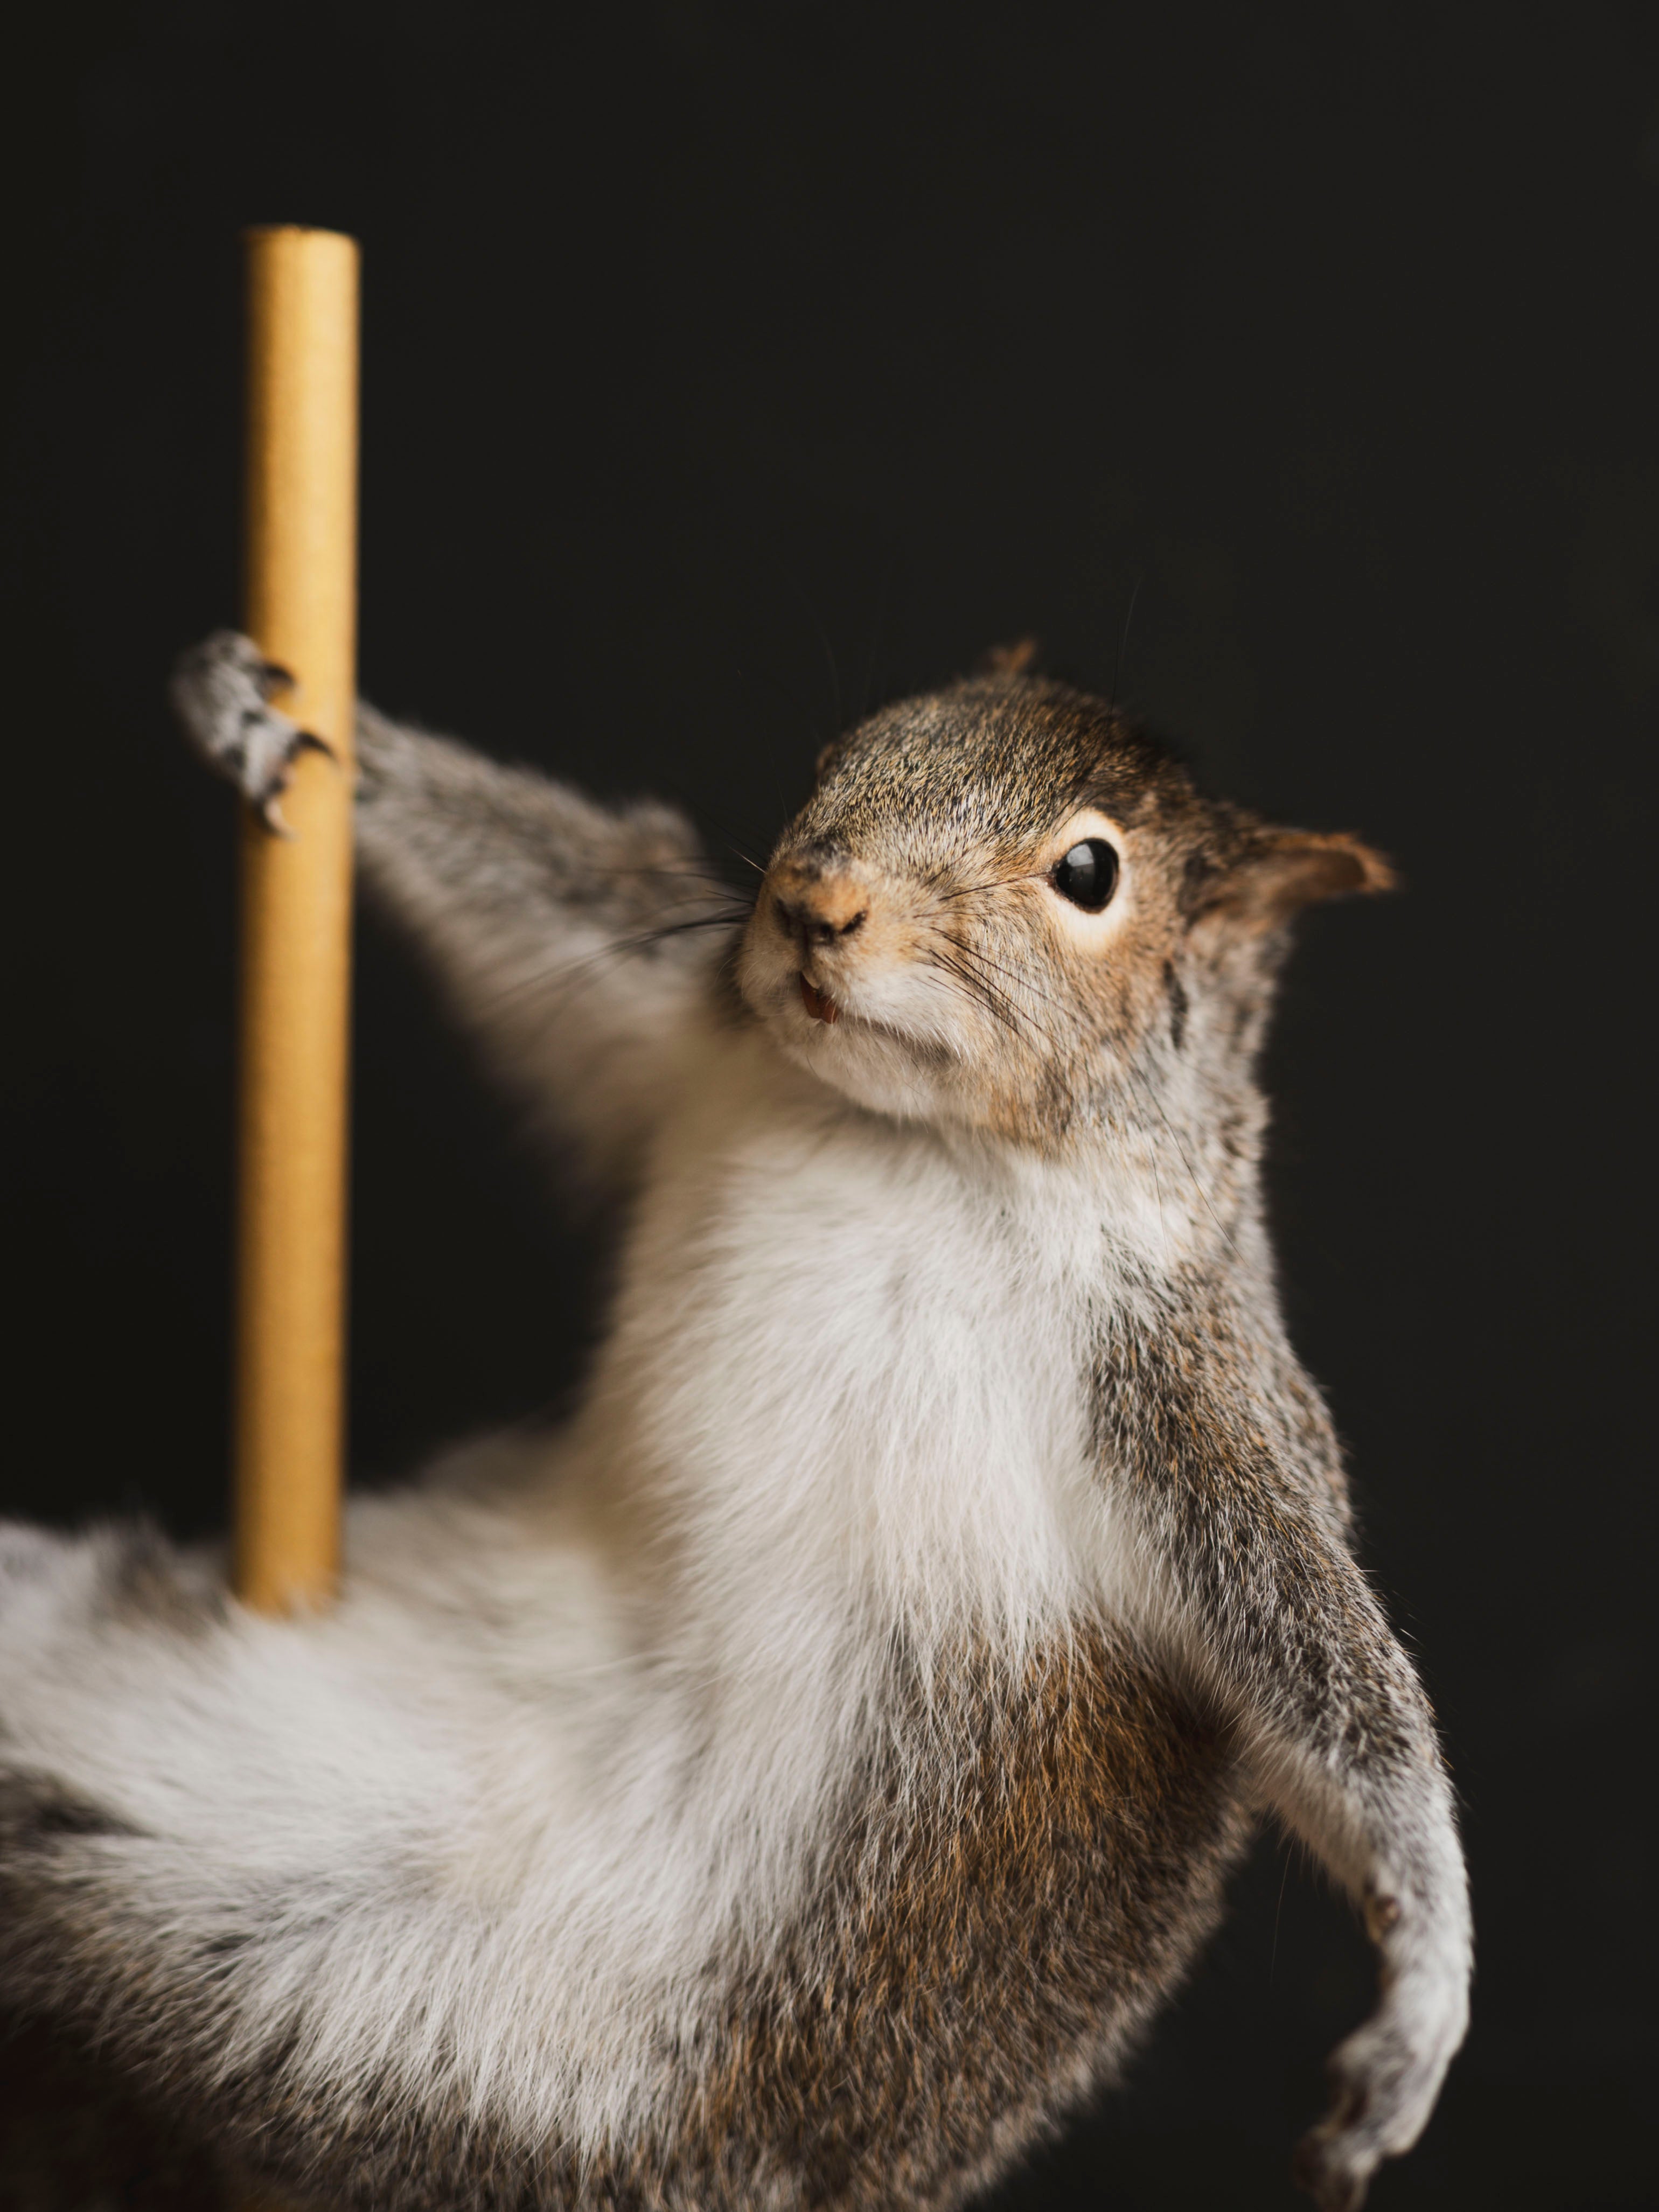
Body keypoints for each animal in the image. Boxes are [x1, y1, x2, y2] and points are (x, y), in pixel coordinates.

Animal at [0, 630, 1470, 2212]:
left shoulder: (1184, 1402)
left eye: (1091, 872)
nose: (814, 899)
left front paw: (1422, 1985)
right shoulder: (674, 1015)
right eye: (847, 745)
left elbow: (1312, 1655)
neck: (915, 1143)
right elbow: (541, 888)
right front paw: (282, 728)